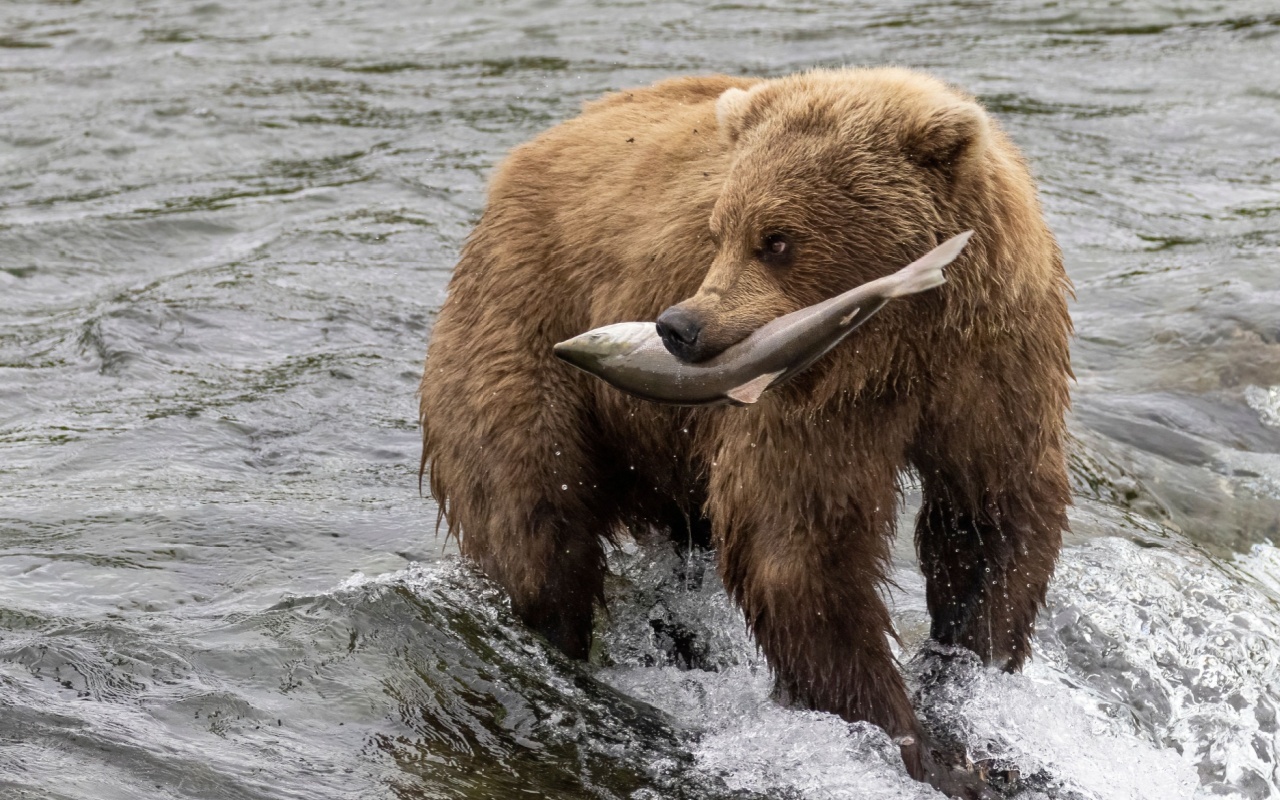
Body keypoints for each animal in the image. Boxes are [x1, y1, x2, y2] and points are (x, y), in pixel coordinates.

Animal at [418, 68, 1072, 797]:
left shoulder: (991, 366)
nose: (679, 327)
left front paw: (967, 705)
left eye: (777, 239)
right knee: (535, 516)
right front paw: (901, 740)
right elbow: (798, 550)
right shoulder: (812, 402)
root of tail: (520, 162)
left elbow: (987, 517)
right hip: (523, 331)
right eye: (719, 229)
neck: (899, 343)